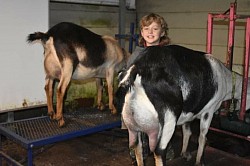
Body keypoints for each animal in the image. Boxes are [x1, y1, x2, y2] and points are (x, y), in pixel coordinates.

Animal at [115, 44, 250, 165]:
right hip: (169, 119)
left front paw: (185, 153)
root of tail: (136, 69)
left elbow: (187, 132)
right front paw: (199, 161)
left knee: (137, 147)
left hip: (132, 125)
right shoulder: (209, 110)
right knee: (159, 151)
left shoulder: (189, 111)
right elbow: (202, 136)